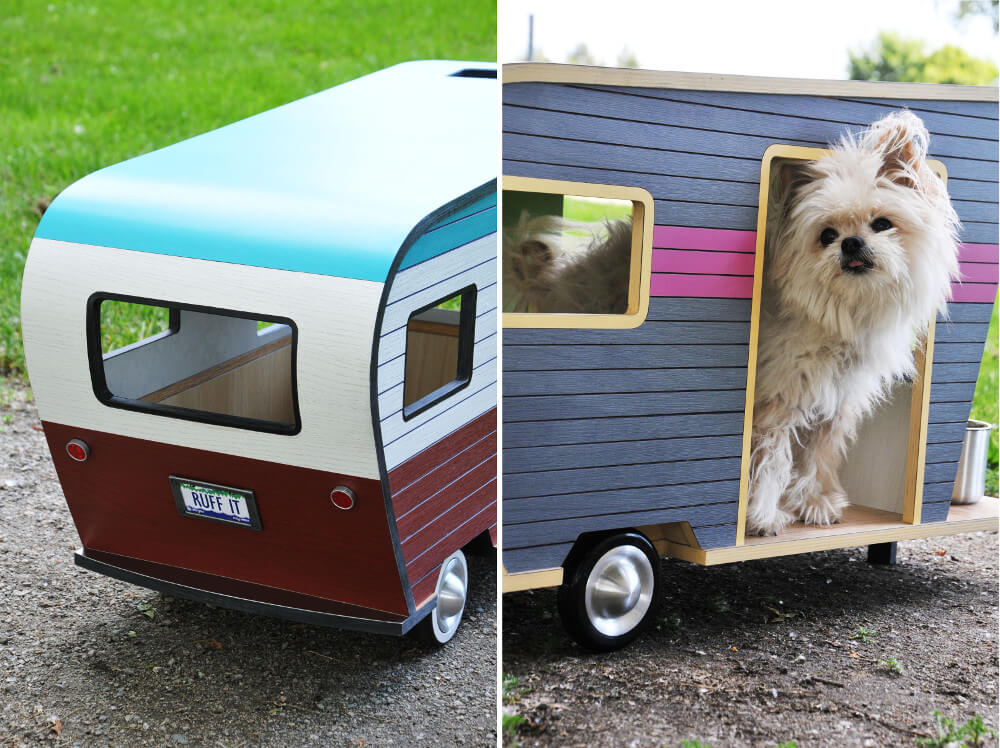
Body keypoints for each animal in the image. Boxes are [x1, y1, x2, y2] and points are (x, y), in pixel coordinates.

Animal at [752, 109, 960, 532]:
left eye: (881, 224)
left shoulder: (835, 399)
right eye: (826, 234)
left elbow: (817, 454)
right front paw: (764, 515)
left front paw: (814, 502)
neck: (845, 315)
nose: (850, 243)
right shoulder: (777, 399)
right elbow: (772, 457)